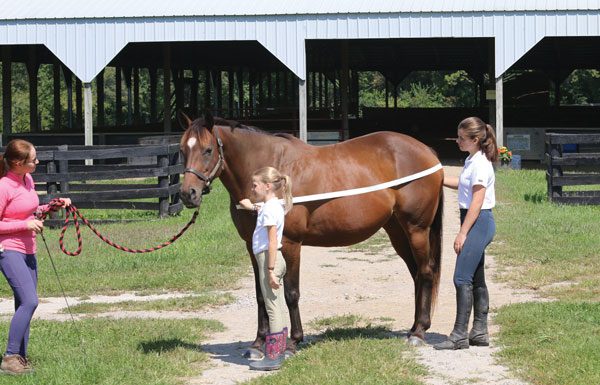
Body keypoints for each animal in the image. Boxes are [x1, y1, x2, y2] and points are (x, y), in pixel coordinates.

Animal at [177, 111, 440, 352]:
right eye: (181, 150)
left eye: (208, 150)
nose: (188, 194)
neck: (273, 177)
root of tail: (426, 151)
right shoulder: (253, 246)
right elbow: (261, 293)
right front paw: (259, 342)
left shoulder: (291, 244)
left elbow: (291, 293)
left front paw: (294, 341)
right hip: (397, 231)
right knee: (416, 274)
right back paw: (414, 328)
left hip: (416, 229)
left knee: (426, 272)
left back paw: (419, 332)